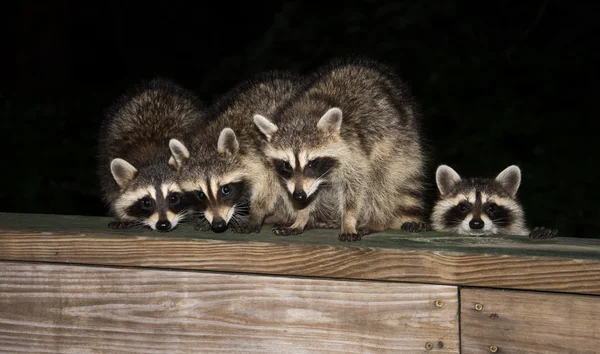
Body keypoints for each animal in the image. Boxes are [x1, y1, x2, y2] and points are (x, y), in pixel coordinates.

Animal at [97, 77, 207, 231]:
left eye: (173, 198)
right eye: (147, 202)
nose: (163, 224)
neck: (154, 157)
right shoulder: (109, 163)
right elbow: (114, 195)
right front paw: (124, 217)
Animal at [177, 70, 300, 234]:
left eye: (226, 189)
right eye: (200, 194)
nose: (218, 224)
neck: (209, 140)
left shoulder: (264, 156)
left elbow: (269, 186)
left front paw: (256, 214)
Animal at [253, 58, 426, 242]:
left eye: (312, 163)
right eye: (286, 165)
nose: (298, 196)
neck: (304, 114)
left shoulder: (354, 151)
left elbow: (355, 189)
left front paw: (348, 220)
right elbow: (311, 195)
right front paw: (301, 218)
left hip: (398, 149)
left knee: (382, 182)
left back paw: (376, 221)